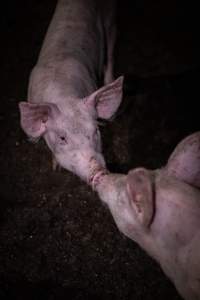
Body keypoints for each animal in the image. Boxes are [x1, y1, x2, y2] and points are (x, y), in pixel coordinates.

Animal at [18, 0, 123, 183]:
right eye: (62, 138)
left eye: (96, 130)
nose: (98, 171)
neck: (64, 97)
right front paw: (55, 167)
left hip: (111, 17)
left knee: (110, 52)